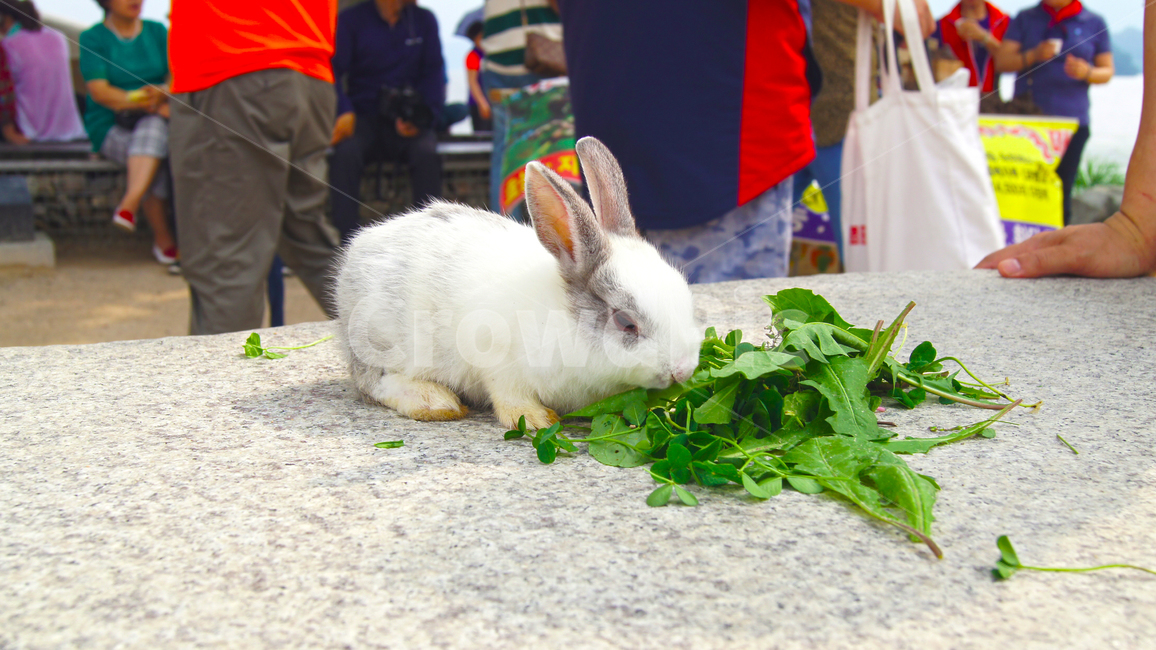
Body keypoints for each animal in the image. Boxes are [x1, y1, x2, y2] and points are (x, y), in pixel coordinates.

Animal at [333, 136, 701, 430]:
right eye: (626, 322)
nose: (683, 370)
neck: (564, 321)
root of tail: (357, 251)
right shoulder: (500, 363)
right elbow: (509, 395)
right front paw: (536, 420)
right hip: (378, 339)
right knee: (374, 381)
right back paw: (434, 401)